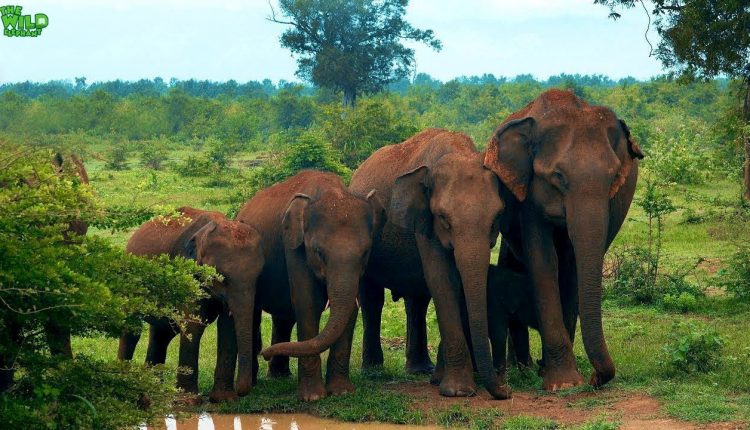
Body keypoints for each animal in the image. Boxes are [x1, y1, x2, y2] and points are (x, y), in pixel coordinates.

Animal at [118, 206, 265, 403]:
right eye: (222, 278)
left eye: (258, 277)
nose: (242, 392)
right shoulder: (186, 272)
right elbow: (193, 324)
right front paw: (189, 401)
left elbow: (227, 326)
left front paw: (224, 399)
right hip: (131, 278)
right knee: (132, 329)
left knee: (162, 333)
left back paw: (153, 390)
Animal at [235, 170, 384, 401]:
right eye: (318, 252)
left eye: (365, 253)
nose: (266, 353)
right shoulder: (294, 246)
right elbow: (308, 303)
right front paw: (313, 397)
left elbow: (350, 310)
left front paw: (341, 392)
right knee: (255, 315)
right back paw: (256, 381)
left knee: (284, 317)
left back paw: (279, 376)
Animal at [349, 128, 511, 400]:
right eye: (444, 219)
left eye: (497, 218)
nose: (506, 390)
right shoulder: (425, 223)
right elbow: (442, 280)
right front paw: (458, 391)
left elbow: (457, 284)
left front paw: (442, 382)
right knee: (372, 299)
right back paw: (373, 371)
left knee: (418, 302)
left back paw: (422, 370)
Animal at [483, 89, 643, 391]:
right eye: (558, 176)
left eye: (614, 177)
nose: (594, 379)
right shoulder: (528, 195)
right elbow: (544, 261)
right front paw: (563, 384)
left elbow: (571, 267)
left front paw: (558, 376)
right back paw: (522, 368)